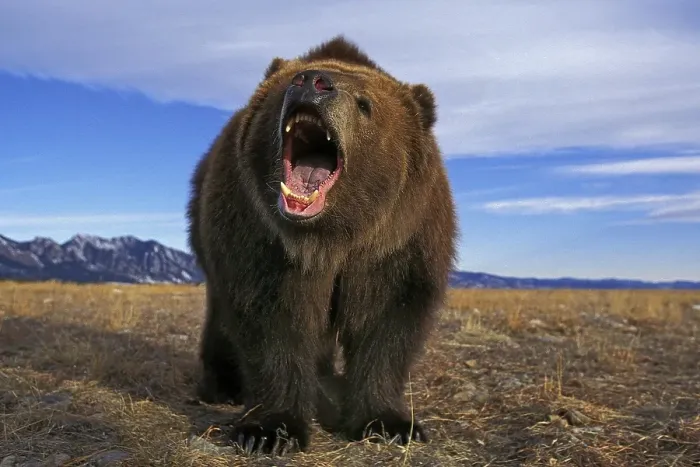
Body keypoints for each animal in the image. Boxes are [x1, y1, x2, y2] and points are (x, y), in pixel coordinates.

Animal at [186, 35, 458, 456]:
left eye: (365, 103)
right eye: (290, 82)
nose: (313, 82)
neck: (331, 237)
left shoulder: (397, 242)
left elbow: (387, 322)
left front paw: (389, 423)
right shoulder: (264, 240)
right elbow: (273, 320)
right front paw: (269, 430)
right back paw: (224, 385)